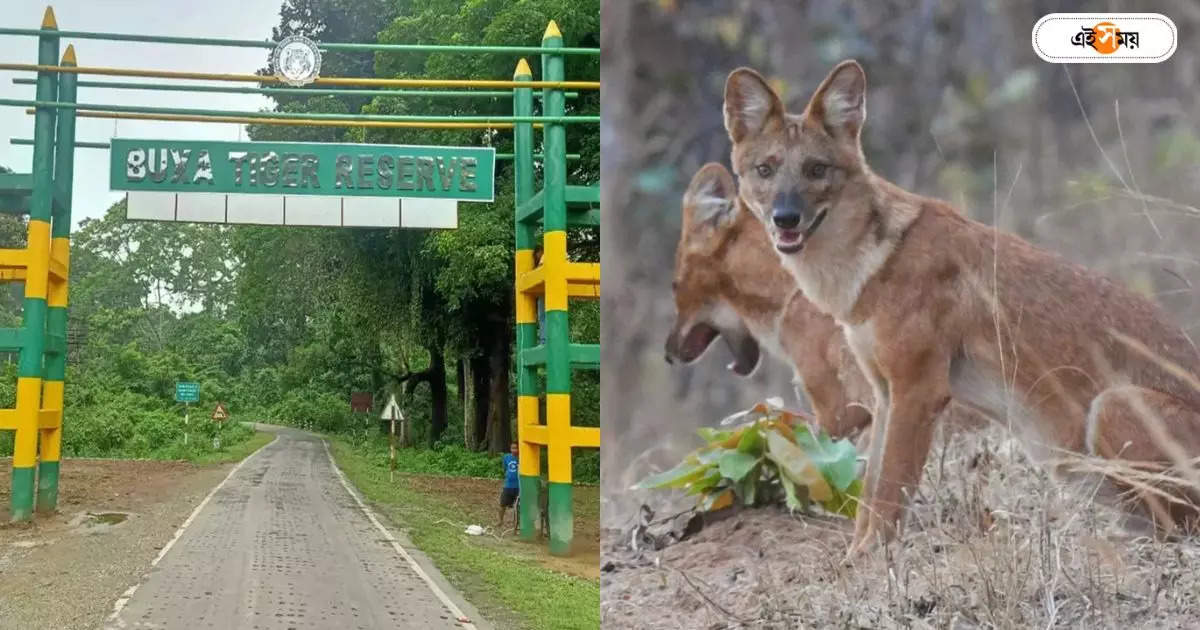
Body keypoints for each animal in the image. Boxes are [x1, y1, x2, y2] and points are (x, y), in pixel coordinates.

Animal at [724, 60, 1200, 559]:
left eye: (817, 169)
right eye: (765, 170)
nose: (785, 218)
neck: (863, 269)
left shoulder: (919, 388)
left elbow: (889, 488)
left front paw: (874, 558)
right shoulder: (883, 391)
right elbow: (869, 490)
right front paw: (856, 556)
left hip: (1113, 405)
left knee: (1178, 526)